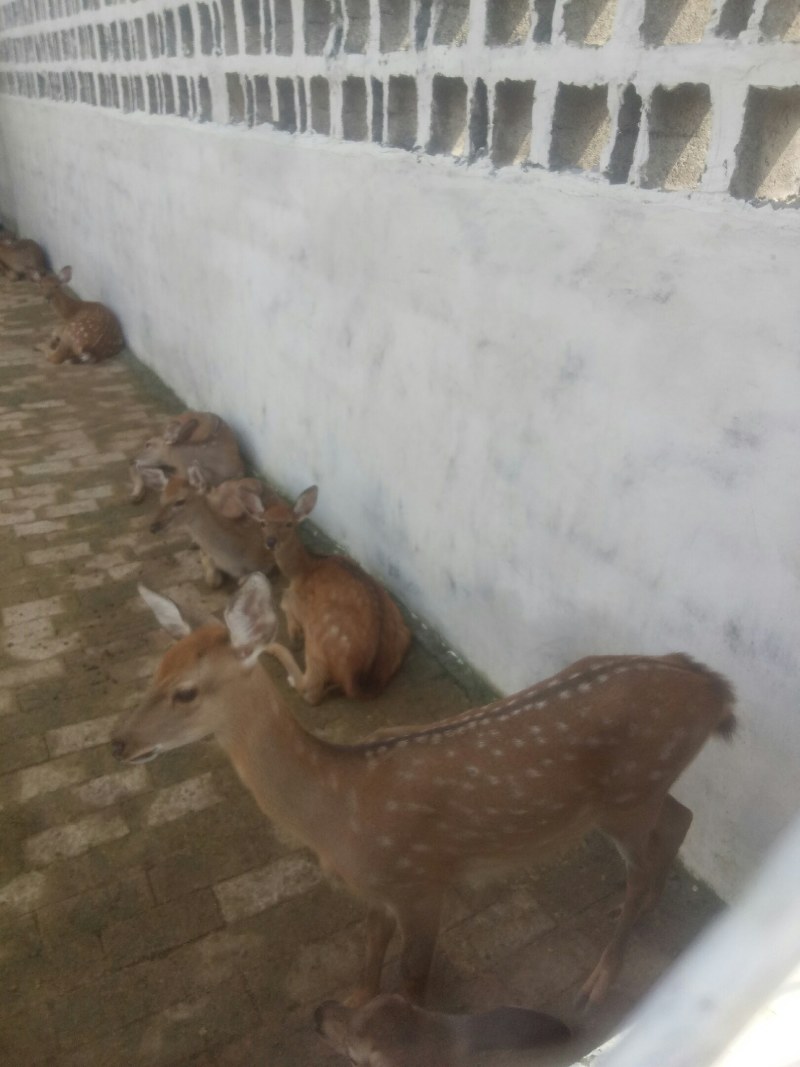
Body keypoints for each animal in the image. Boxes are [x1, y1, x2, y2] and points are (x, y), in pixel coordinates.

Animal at [112, 575, 736, 1011]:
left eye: (186, 692)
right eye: (154, 672)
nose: (119, 742)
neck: (336, 810)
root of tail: (712, 687)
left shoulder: (423, 882)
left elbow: (412, 981)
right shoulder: (376, 887)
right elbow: (369, 953)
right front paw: (351, 1005)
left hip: (627, 794)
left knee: (641, 864)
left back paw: (598, 981)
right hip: (642, 789)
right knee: (680, 818)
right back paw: (649, 908)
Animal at [239, 485, 411, 704]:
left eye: (289, 523)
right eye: (263, 523)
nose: (271, 541)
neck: (304, 569)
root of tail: (357, 682)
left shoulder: (300, 604)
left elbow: (286, 603)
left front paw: (293, 634)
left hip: (316, 640)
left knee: (311, 692)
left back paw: (276, 656)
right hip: (404, 635)